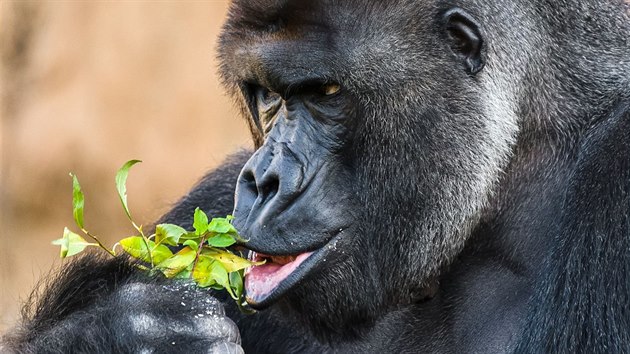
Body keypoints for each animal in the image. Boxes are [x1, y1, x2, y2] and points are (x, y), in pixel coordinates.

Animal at [4, 0, 630, 352]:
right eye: (265, 95)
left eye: (327, 92)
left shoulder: (615, 173)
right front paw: (119, 335)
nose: (263, 180)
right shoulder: (215, 195)